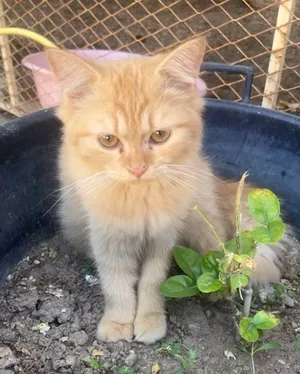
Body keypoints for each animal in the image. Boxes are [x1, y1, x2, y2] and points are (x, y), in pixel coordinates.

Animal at [46, 38, 282, 344]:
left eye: (159, 136)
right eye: (108, 140)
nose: (137, 168)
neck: (140, 198)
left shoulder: (163, 239)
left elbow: (152, 282)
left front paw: (150, 320)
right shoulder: (107, 239)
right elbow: (116, 283)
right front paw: (118, 322)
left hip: (201, 221)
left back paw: (220, 288)